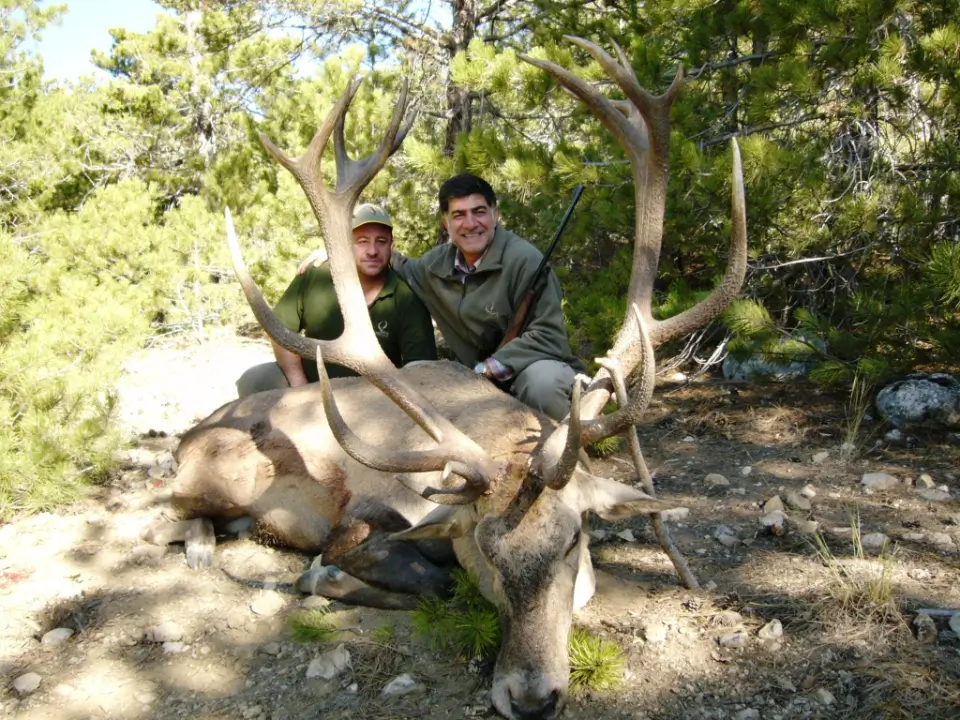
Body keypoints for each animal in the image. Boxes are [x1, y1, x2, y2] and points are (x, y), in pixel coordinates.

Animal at [144, 36, 747, 720]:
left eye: (574, 540)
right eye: (483, 549)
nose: (531, 698)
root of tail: (186, 437)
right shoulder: (361, 519)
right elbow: (420, 579)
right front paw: (326, 575)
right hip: (215, 474)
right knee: (162, 517)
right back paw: (200, 545)